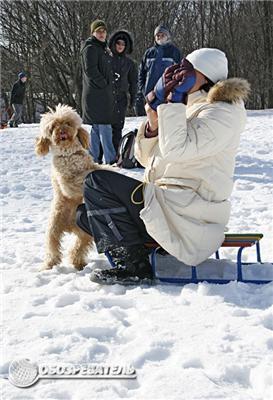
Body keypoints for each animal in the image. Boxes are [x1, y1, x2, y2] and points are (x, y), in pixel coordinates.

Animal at [34, 104, 97, 270]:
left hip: (85, 233)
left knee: (79, 247)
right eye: (53, 127)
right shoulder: (66, 182)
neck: (69, 154)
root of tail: (70, 226)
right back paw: (48, 265)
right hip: (53, 230)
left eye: (67, 123)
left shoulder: (87, 163)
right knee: (53, 249)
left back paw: (78, 262)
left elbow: (93, 167)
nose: (62, 131)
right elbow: (81, 177)